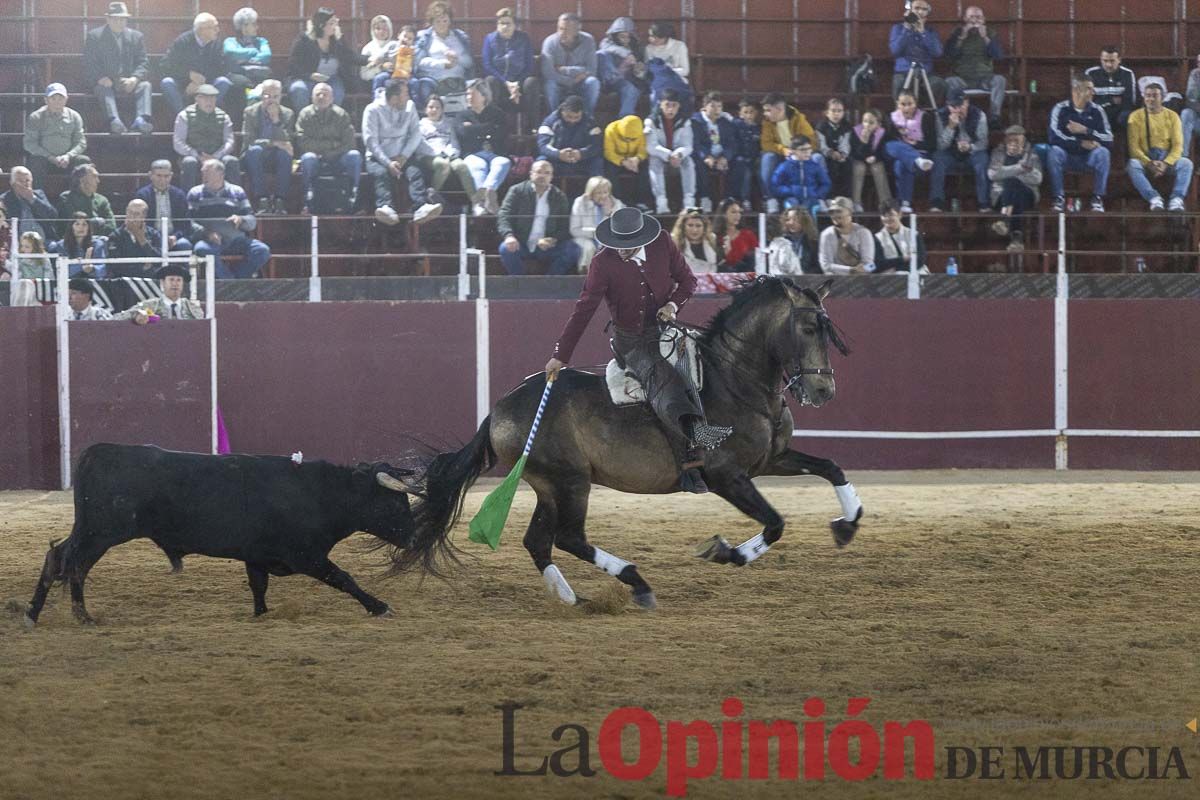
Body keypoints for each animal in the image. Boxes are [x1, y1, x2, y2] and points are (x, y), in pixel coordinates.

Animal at [22, 443, 422, 623]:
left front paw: (261, 614)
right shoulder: (305, 556)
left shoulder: (257, 556)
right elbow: (344, 577)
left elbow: (258, 586)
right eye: (394, 504)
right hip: (102, 532)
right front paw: (379, 606)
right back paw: (81, 616)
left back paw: (33, 614)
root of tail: (100, 451)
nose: (414, 539)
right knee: (74, 564)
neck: (321, 493)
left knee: (58, 556)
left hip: (91, 530)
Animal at [391, 275, 864, 606]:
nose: (823, 391)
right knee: (569, 538)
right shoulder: (727, 476)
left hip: (549, 486)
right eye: (808, 328)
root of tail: (502, 407)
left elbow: (832, 468)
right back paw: (636, 583)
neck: (734, 381)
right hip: (570, 482)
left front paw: (846, 525)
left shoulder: (772, 459)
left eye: (828, 330)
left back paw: (571, 597)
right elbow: (775, 523)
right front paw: (722, 551)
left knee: (539, 541)